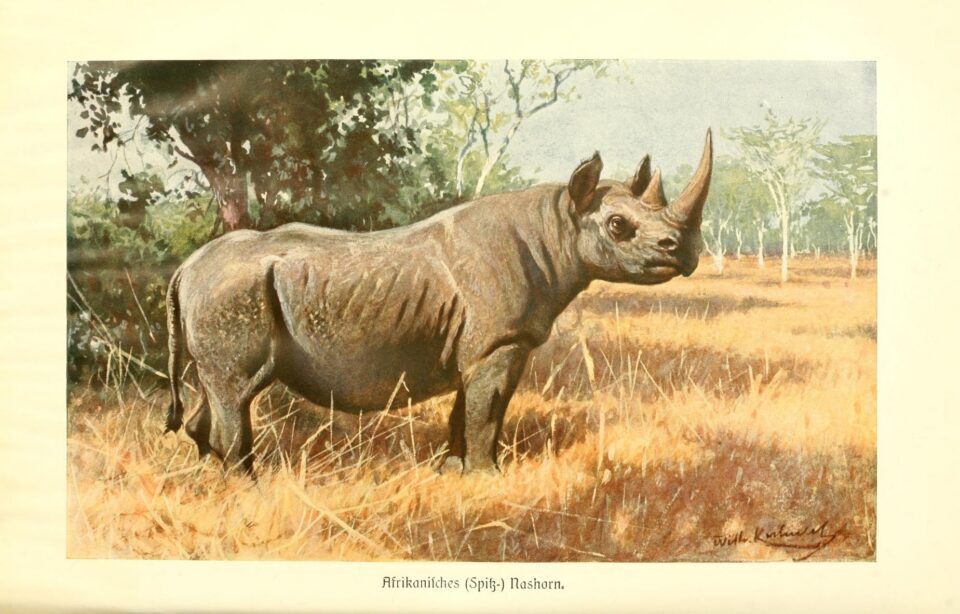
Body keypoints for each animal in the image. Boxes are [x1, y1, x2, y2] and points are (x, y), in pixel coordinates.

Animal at [165, 130, 713, 475]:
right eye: (619, 226)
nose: (686, 251)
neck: (559, 222)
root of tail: (186, 269)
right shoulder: (499, 344)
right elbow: (487, 412)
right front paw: (488, 478)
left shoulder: (481, 347)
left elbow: (467, 411)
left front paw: (452, 471)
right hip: (231, 291)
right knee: (236, 392)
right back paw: (245, 486)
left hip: (220, 292)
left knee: (216, 389)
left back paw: (206, 481)